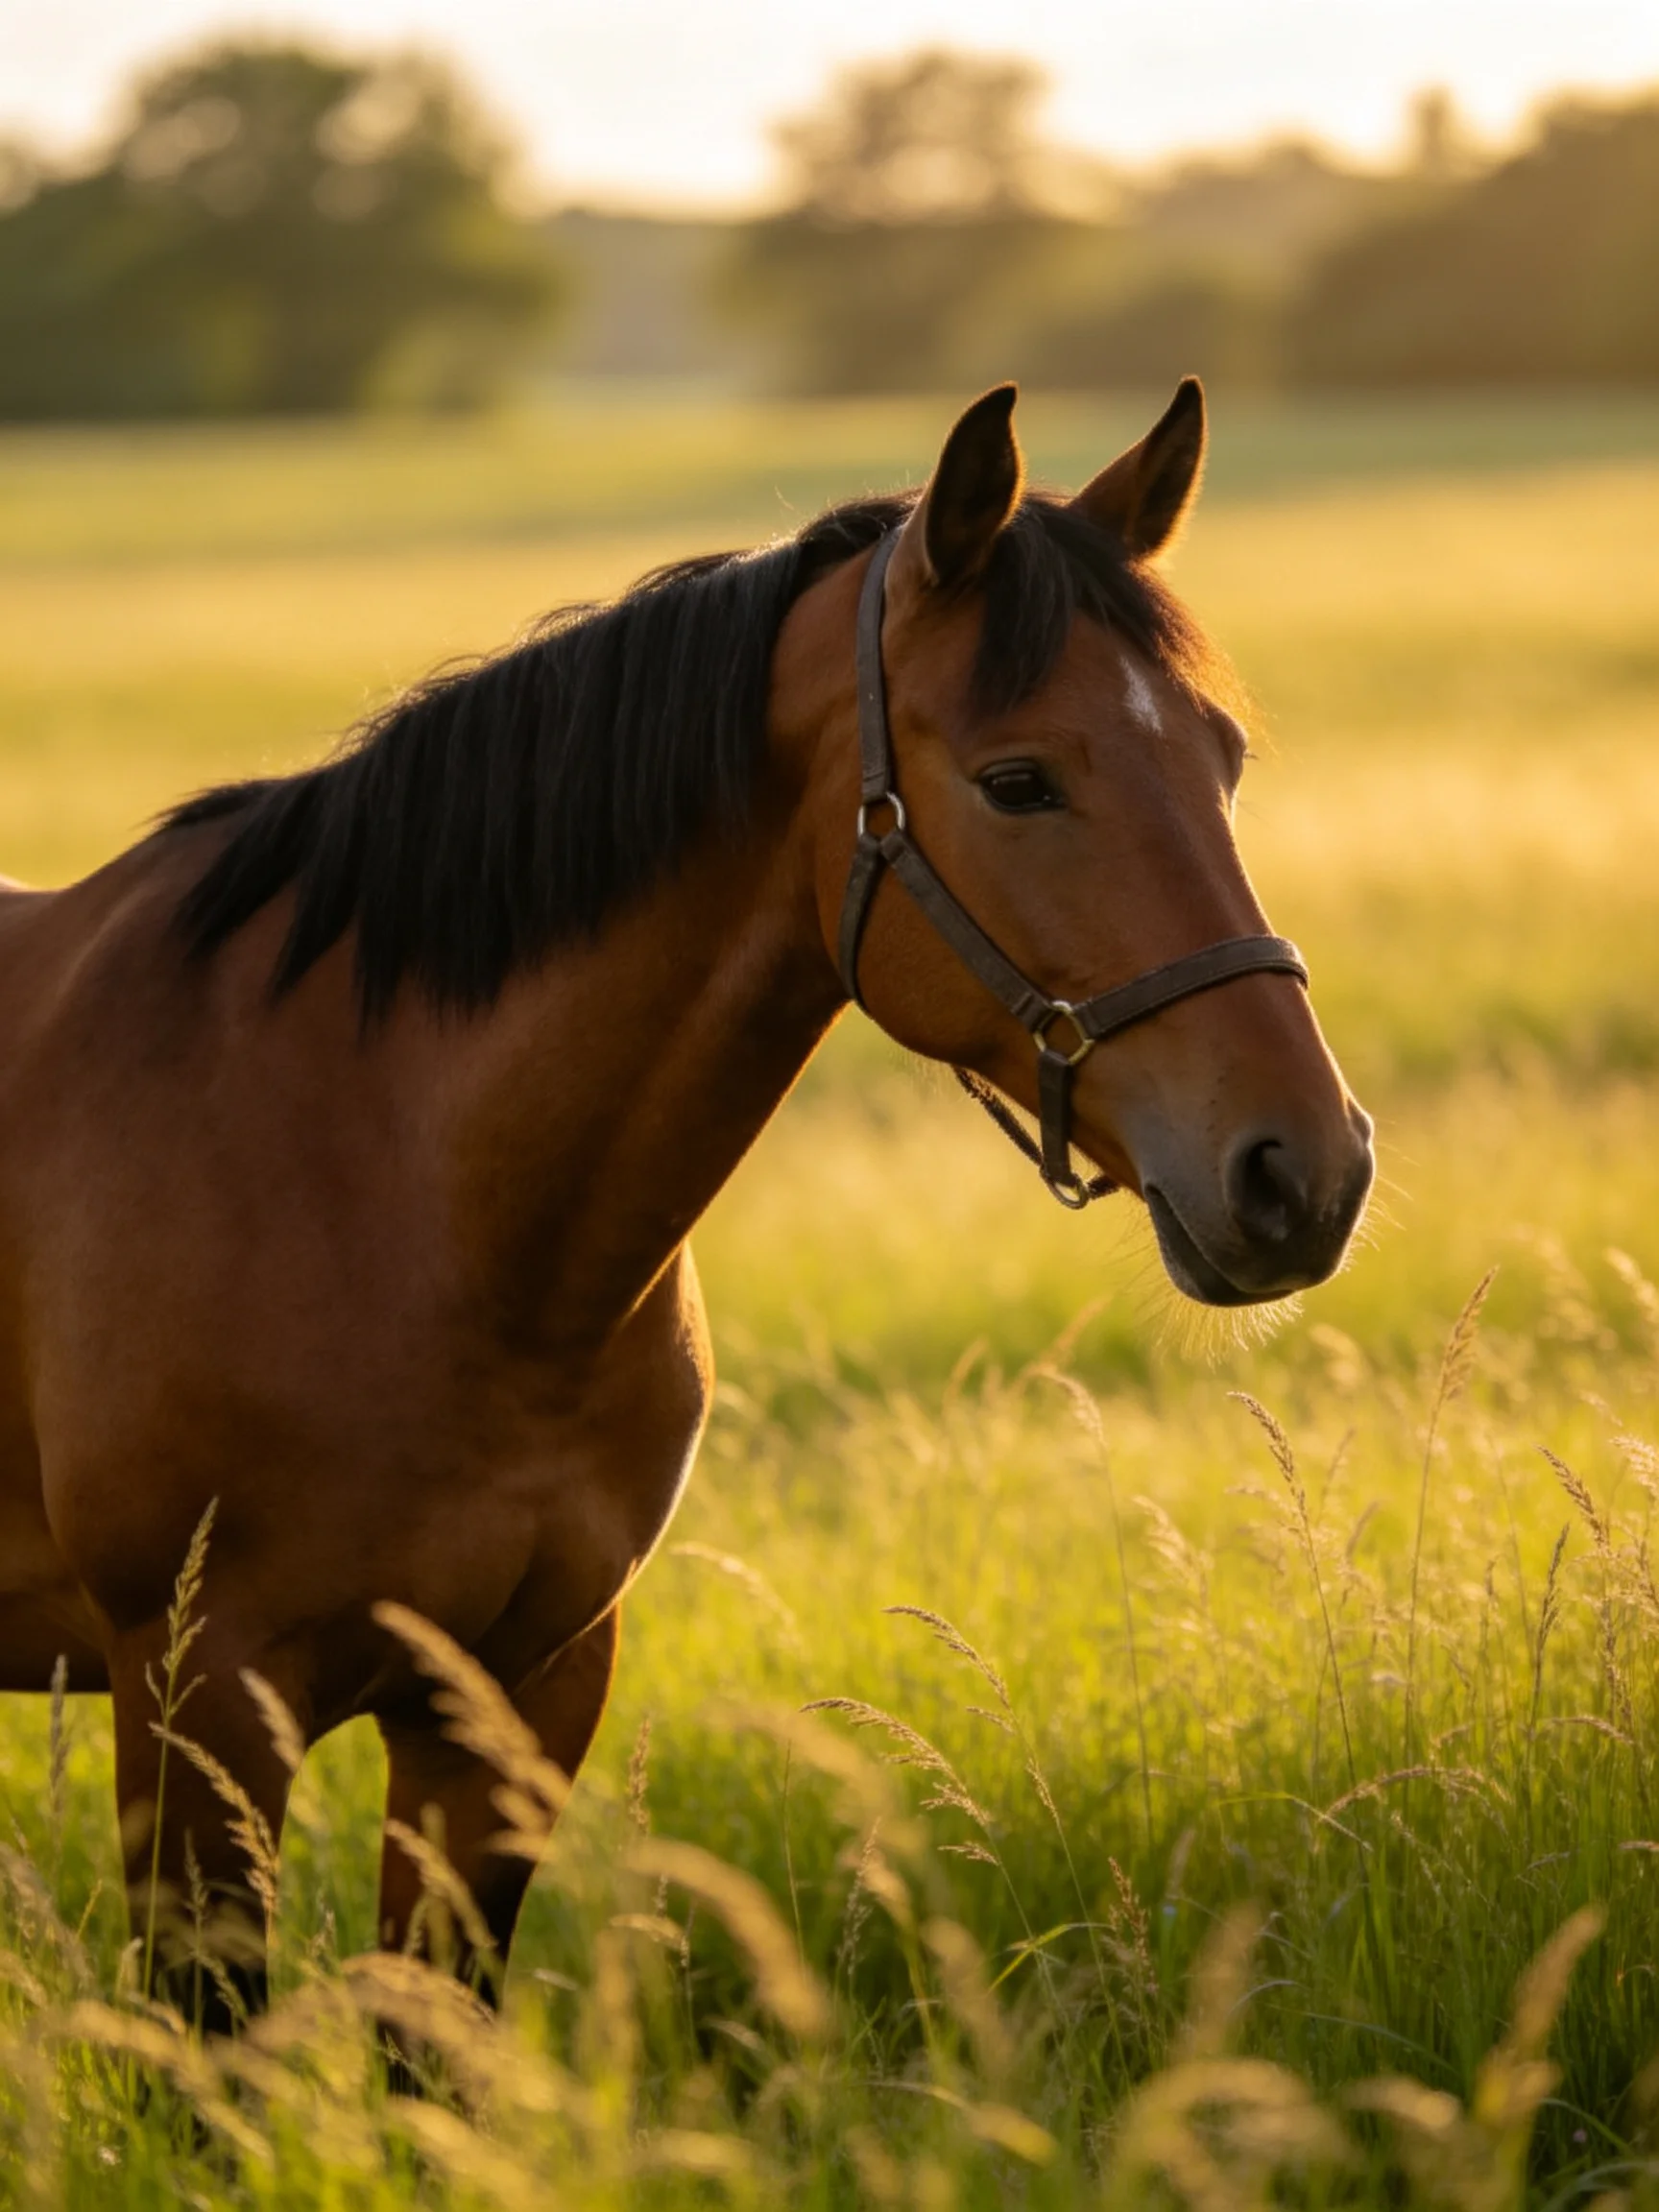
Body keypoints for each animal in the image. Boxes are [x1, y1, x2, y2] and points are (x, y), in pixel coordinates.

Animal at [0, 379, 1373, 2022]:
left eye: (1222, 760)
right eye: (1018, 780)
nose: (1304, 1171)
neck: (381, 1182)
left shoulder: (516, 1699)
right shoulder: (200, 1702)